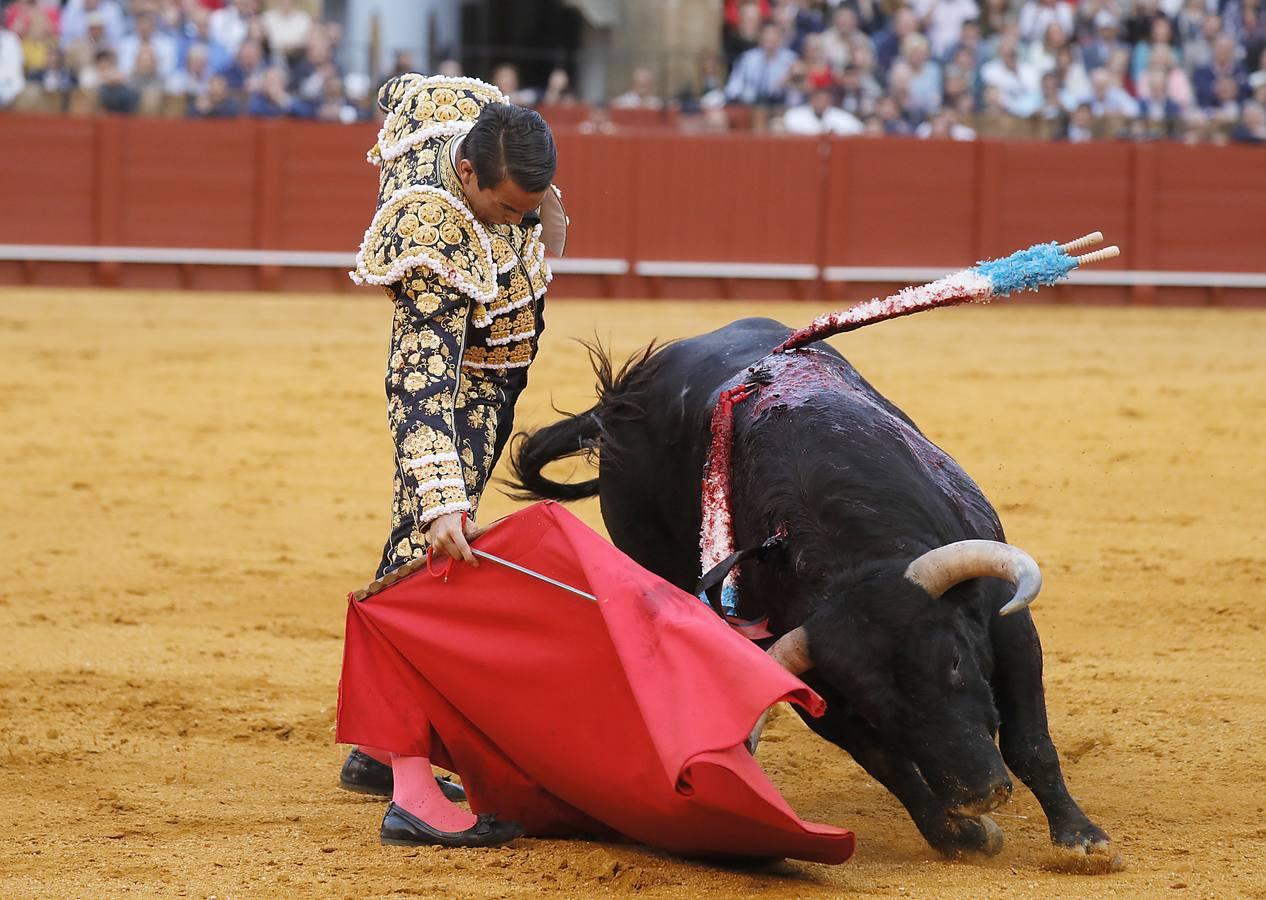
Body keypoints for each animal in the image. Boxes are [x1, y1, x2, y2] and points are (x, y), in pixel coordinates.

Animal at [508, 316, 1114, 860]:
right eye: (876, 708)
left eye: (956, 663)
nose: (977, 796)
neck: (849, 559)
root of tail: (622, 396)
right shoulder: (823, 688)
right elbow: (892, 765)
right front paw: (962, 836)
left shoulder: (1007, 624)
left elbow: (1029, 740)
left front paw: (1081, 839)